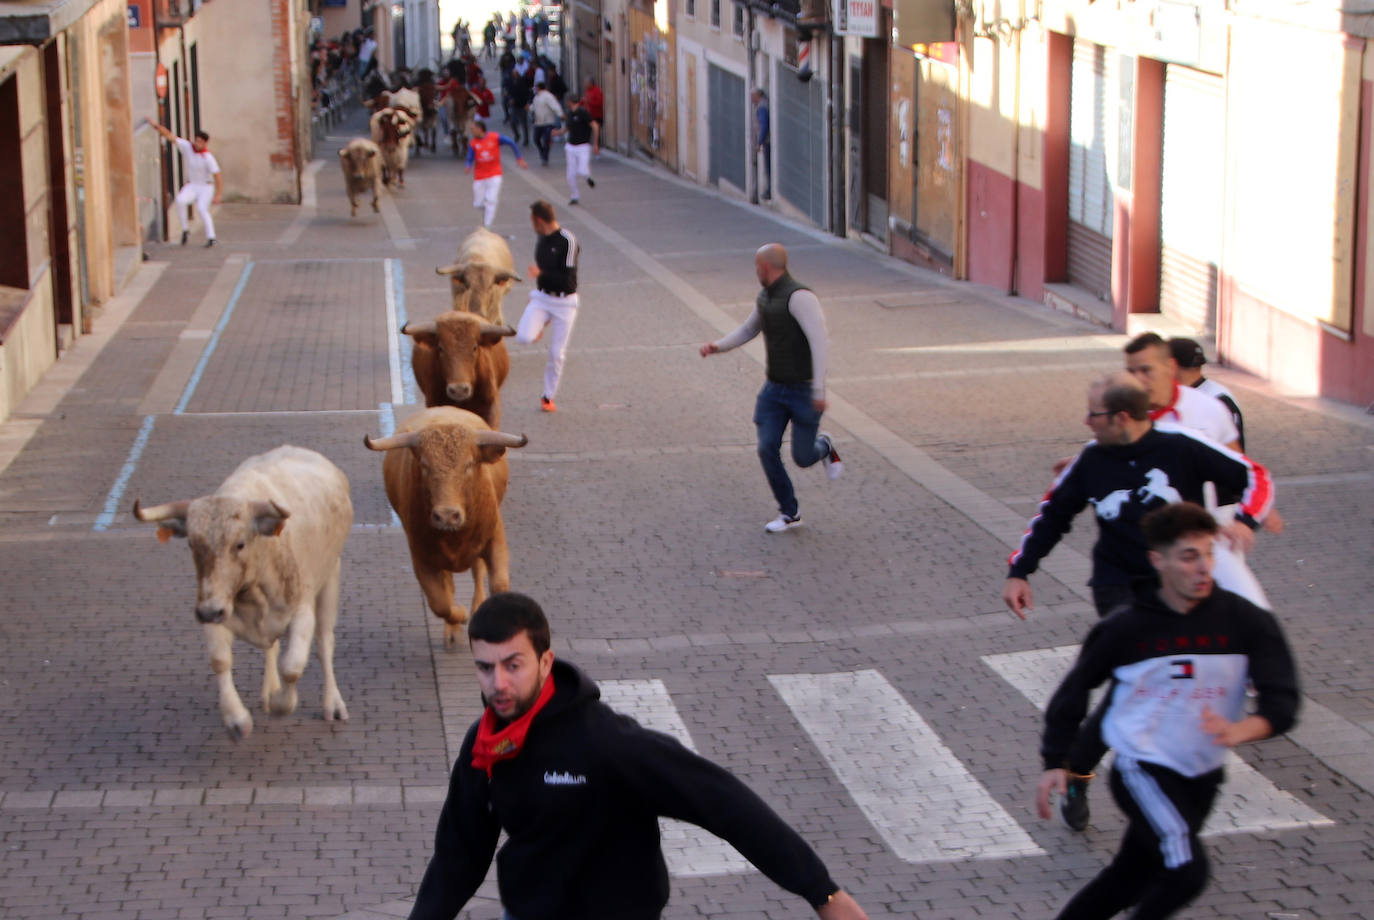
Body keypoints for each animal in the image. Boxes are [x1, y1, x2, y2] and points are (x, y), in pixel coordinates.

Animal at [365, 406, 524, 653]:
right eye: (424, 465)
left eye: (469, 464)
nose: (447, 515)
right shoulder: (422, 557)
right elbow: (440, 602)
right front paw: (458, 618)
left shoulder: (494, 539)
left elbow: (498, 584)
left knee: (477, 572)